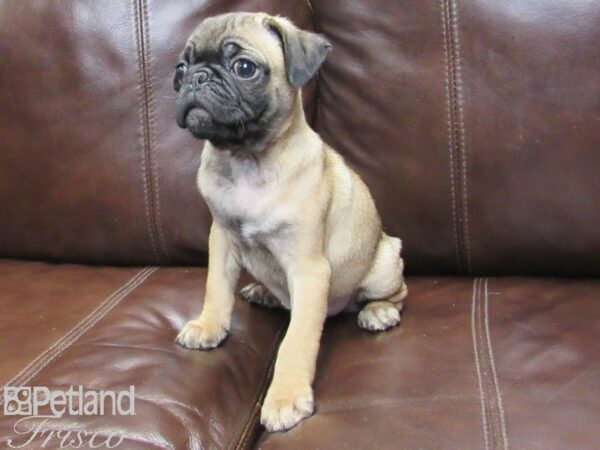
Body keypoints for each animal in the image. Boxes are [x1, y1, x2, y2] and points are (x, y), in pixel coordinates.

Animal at [173, 12, 408, 430]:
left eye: (244, 68)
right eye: (180, 70)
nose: (197, 77)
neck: (246, 159)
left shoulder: (308, 268)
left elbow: (296, 342)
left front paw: (285, 398)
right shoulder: (223, 241)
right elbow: (216, 289)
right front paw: (208, 326)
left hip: (383, 264)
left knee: (396, 293)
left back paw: (378, 312)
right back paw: (265, 292)